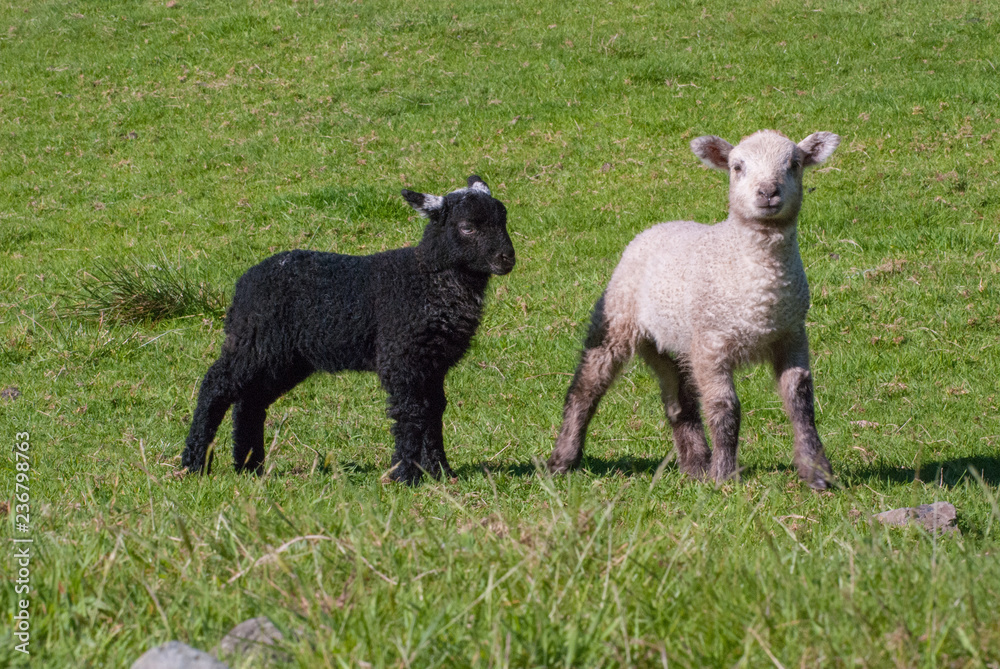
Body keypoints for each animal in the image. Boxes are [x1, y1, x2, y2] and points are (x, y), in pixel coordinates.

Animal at [181, 176, 515, 485]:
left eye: (503, 220)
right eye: (467, 227)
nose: (507, 259)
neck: (427, 279)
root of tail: (243, 284)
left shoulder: (433, 364)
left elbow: (434, 411)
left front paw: (440, 472)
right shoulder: (400, 358)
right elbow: (411, 412)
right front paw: (404, 475)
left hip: (284, 358)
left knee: (250, 402)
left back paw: (250, 467)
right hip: (253, 341)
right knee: (215, 385)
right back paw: (193, 463)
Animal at [547, 130, 840, 489]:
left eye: (795, 164)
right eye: (737, 166)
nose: (768, 192)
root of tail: (659, 225)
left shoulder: (792, 336)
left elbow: (801, 403)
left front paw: (817, 473)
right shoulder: (712, 344)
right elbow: (725, 408)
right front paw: (725, 476)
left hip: (673, 342)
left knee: (679, 399)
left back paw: (695, 463)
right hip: (617, 317)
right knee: (587, 386)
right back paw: (562, 459)